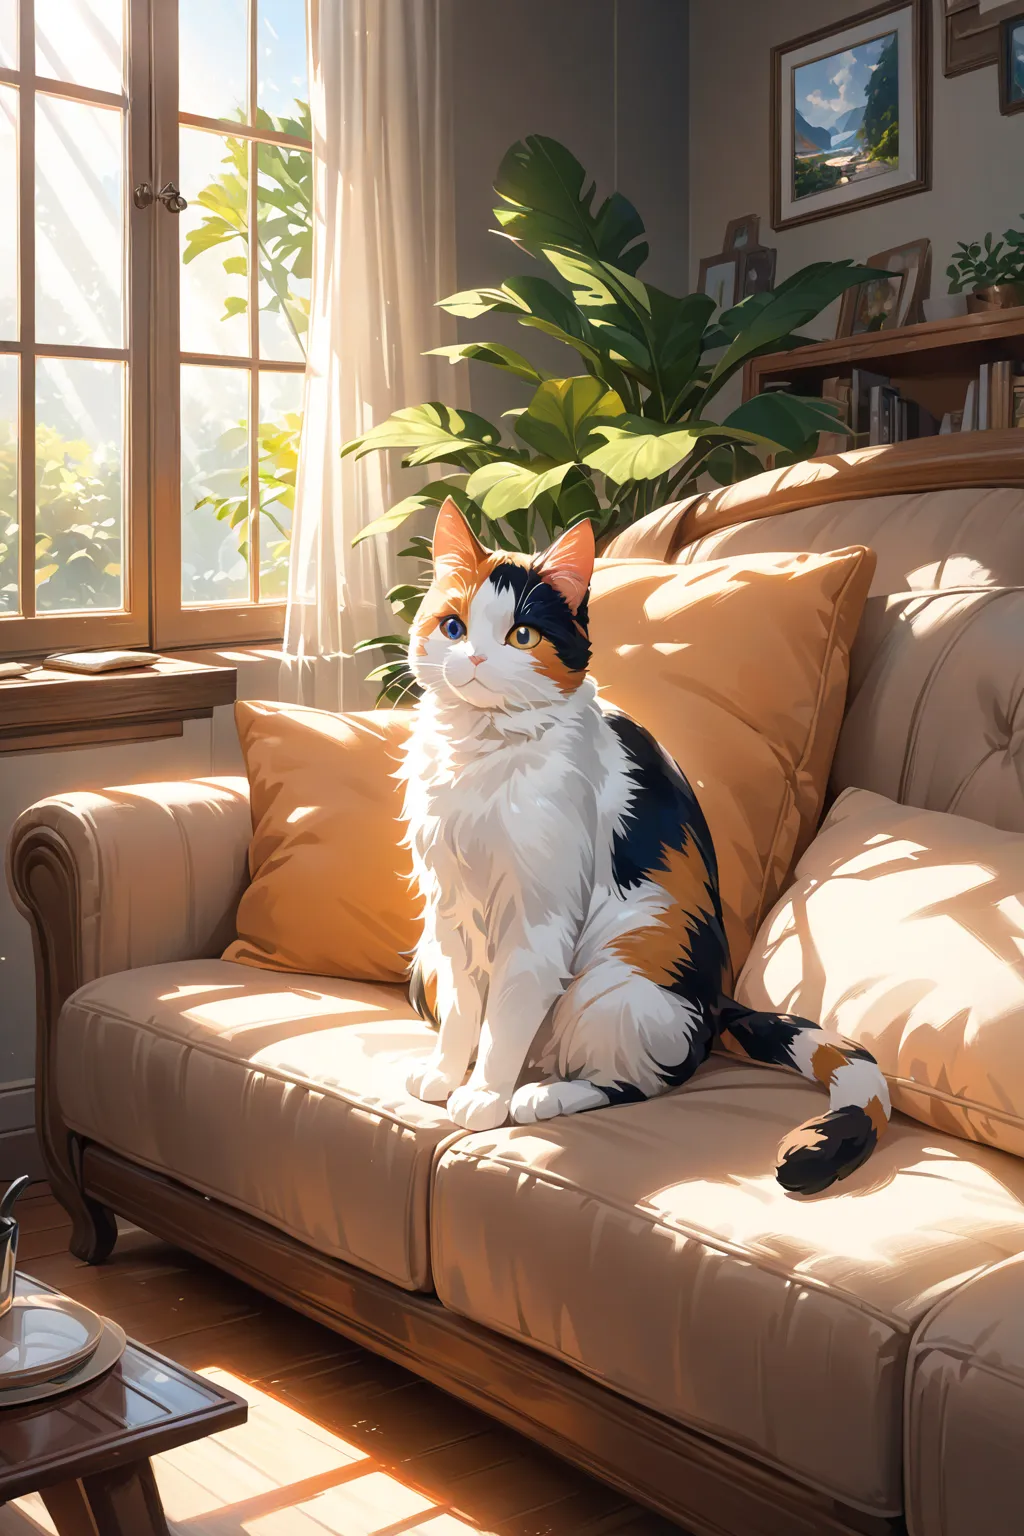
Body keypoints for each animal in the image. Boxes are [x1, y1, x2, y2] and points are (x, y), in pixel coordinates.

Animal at [399, 497, 890, 1191]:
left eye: (522, 635)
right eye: (452, 626)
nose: (473, 660)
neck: (481, 755)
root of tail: (717, 1002)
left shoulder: (538, 919)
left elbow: (506, 1017)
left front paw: (485, 1097)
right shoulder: (450, 910)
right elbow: (468, 1007)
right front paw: (446, 1075)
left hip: (614, 980)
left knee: (641, 1081)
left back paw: (539, 1095)